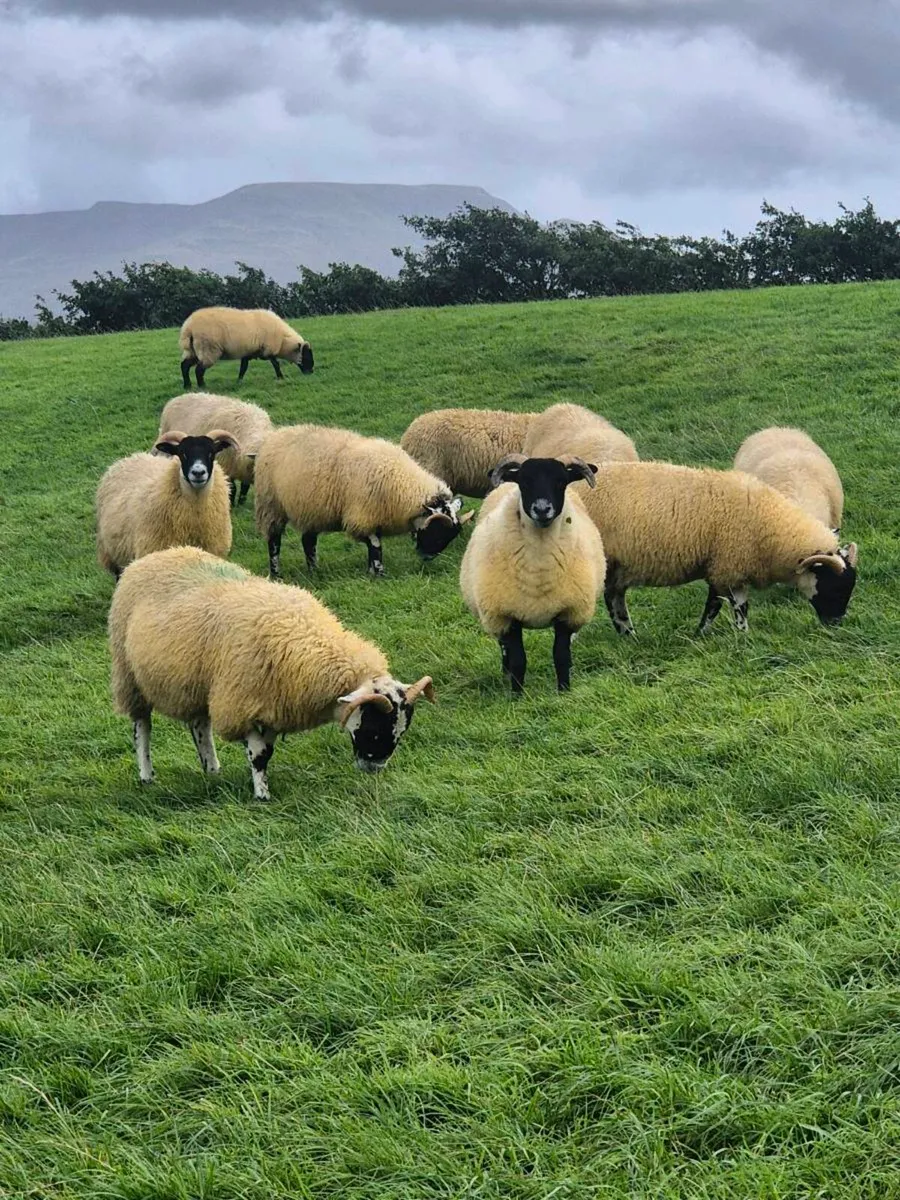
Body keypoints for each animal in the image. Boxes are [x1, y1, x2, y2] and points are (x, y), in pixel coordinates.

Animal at [108, 546, 435, 798]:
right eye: (373, 728)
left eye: (400, 732)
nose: (374, 768)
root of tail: (155, 555)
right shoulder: (245, 704)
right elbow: (259, 756)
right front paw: (262, 796)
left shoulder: (273, 706)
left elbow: (265, 751)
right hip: (129, 676)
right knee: (142, 728)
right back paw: (147, 774)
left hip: (198, 683)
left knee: (200, 726)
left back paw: (212, 770)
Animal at [179, 306, 314, 388]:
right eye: (306, 356)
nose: (311, 372)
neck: (282, 342)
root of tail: (188, 328)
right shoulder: (268, 349)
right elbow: (276, 364)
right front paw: (281, 377)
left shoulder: (249, 352)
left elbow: (243, 367)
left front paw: (239, 381)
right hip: (208, 349)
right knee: (199, 370)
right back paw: (202, 386)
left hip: (192, 350)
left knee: (184, 366)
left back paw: (187, 386)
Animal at [254, 423, 473, 578]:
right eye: (436, 532)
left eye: (448, 537)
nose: (426, 558)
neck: (402, 485)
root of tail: (276, 435)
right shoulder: (362, 517)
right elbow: (375, 546)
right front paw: (380, 573)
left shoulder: (373, 516)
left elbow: (372, 546)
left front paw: (370, 572)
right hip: (271, 505)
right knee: (274, 541)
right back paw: (276, 573)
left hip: (312, 509)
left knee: (308, 541)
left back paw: (314, 570)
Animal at [459, 454, 606, 693]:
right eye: (524, 481)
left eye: (561, 481)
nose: (542, 509)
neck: (539, 570)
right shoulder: (506, 616)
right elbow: (518, 660)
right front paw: (517, 694)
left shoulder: (568, 613)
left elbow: (561, 656)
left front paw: (564, 690)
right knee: (504, 650)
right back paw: (505, 674)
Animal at [576, 461, 858, 635]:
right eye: (832, 585)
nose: (835, 624)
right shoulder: (728, 567)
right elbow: (732, 608)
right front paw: (741, 636)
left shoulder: (724, 567)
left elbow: (714, 606)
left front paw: (701, 635)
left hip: (618, 567)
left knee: (615, 598)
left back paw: (629, 635)